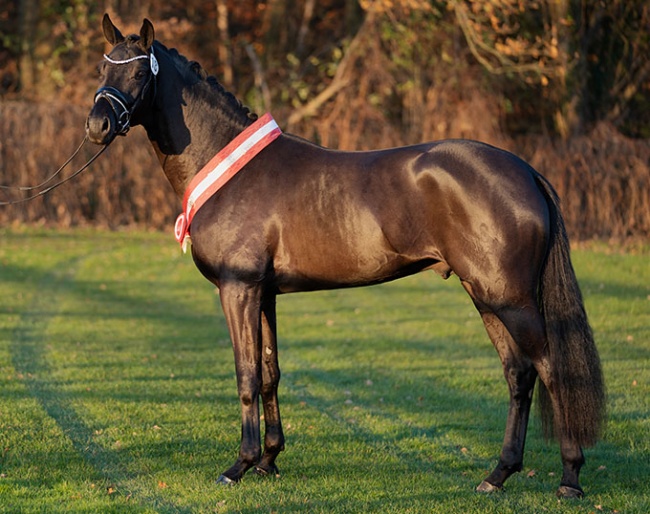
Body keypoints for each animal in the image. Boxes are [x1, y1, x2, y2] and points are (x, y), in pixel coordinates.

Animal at [85, 15, 604, 496]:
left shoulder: (238, 288)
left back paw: (570, 478)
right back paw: (498, 474)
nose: (97, 125)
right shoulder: (265, 294)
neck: (230, 170)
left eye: (138, 72)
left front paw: (239, 466)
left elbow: (246, 375)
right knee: (518, 374)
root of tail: (525, 171)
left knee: (551, 370)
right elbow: (271, 372)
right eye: (102, 68)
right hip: (485, 294)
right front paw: (269, 461)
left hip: (510, 298)